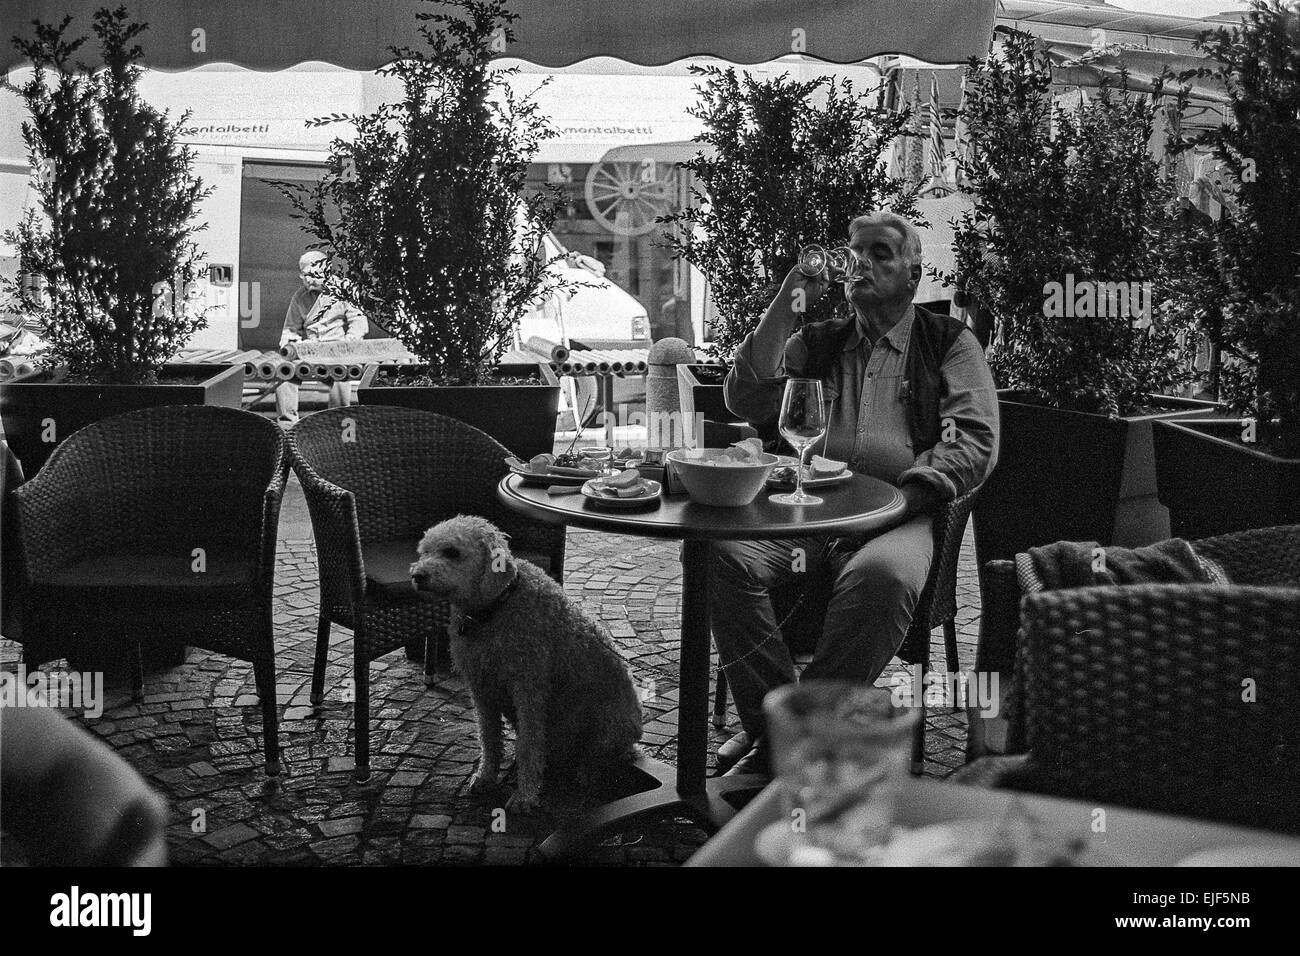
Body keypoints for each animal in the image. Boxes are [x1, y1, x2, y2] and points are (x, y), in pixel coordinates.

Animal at [410, 520, 644, 811]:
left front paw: (525, 796)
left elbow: (528, 746)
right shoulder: (482, 689)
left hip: (611, 724)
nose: (417, 575)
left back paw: (587, 771)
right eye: (424, 551)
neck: (495, 608)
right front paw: (486, 777)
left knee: (601, 755)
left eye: (452, 552)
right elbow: (489, 738)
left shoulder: (529, 691)